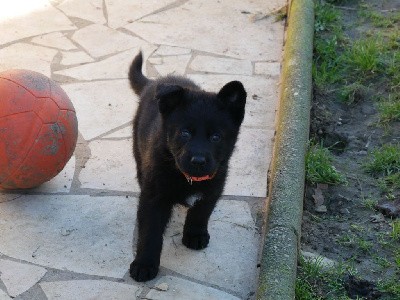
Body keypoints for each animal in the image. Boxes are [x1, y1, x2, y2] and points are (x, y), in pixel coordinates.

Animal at [130, 51, 245, 282]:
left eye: (216, 137)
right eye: (185, 133)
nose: (198, 161)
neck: (187, 178)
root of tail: (154, 82)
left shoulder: (214, 187)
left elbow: (201, 211)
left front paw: (195, 234)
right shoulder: (154, 197)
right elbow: (150, 232)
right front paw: (144, 264)